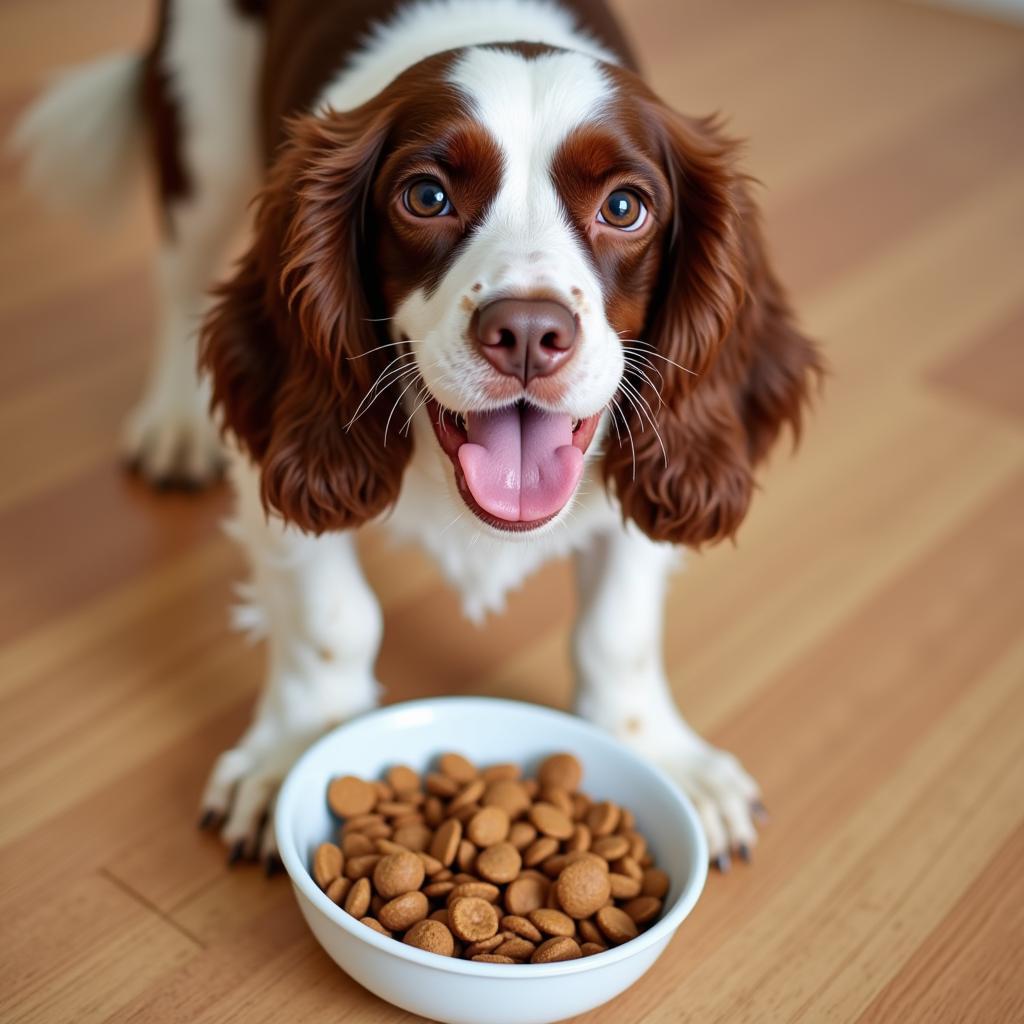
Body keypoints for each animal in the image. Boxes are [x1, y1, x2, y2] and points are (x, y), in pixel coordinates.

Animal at [16, 0, 823, 872]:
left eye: (624, 207)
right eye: (427, 196)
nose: (528, 333)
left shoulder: (650, 463)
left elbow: (619, 629)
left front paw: (658, 753)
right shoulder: (280, 449)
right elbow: (332, 617)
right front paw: (297, 753)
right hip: (205, 121)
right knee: (181, 273)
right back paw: (172, 420)